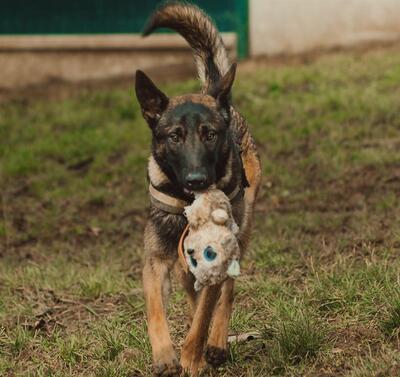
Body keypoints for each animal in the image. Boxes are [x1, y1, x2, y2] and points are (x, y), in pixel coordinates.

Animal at [134, 2, 262, 374]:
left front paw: (192, 358)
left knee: (227, 291)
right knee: (193, 291)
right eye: (174, 137)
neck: (187, 205)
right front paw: (165, 356)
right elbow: (156, 311)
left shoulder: (216, 260)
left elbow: (206, 313)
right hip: (182, 266)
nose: (196, 181)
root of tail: (212, 91)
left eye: (210, 135)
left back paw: (216, 343)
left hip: (242, 231)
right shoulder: (155, 263)